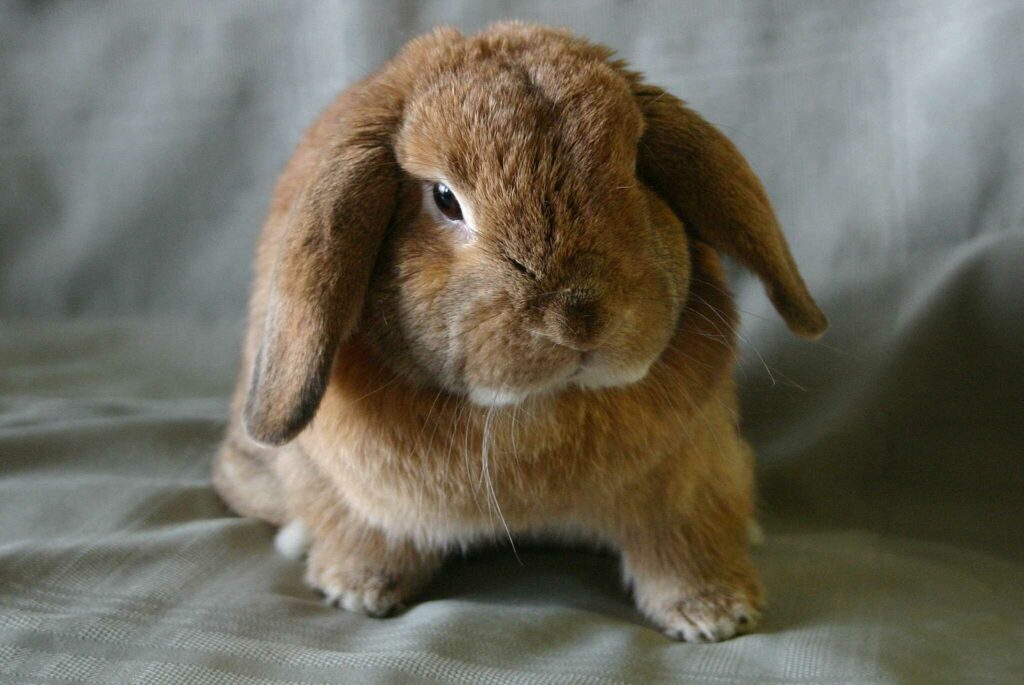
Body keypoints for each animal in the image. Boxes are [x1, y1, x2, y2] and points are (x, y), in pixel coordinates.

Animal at [211, 21, 827, 643]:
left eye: (635, 168)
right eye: (444, 199)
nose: (579, 319)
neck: (537, 411)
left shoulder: (687, 483)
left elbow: (681, 547)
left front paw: (715, 614)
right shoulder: (366, 500)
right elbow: (370, 534)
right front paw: (356, 589)